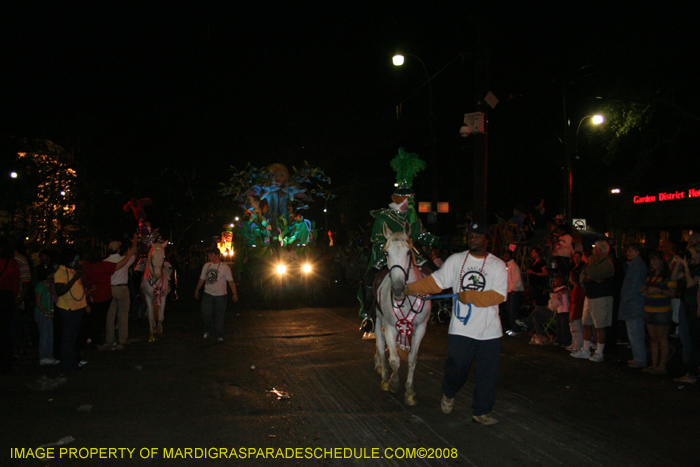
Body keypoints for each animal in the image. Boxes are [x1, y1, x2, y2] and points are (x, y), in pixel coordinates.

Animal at [374, 223, 430, 406]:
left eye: (408, 252)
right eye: (386, 253)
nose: (397, 289)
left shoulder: (421, 327)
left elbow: (412, 358)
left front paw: (410, 392)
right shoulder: (390, 326)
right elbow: (394, 359)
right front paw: (393, 382)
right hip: (377, 320)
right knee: (380, 345)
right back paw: (384, 375)